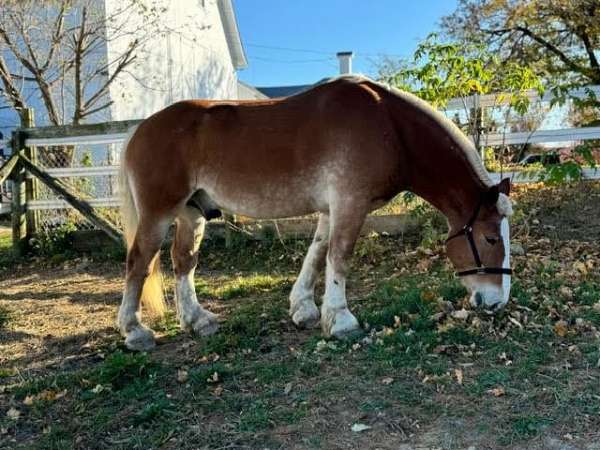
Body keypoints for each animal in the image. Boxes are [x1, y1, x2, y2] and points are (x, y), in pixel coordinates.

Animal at [117, 75, 510, 352]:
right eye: (490, 238)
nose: (497, 302)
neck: (388, 125)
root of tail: (139, 130)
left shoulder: (330, 209)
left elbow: (317, 254)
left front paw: (303, 308)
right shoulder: (350, 203)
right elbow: (339, 256)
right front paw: (340, 319)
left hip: (191, 212)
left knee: (183, 260)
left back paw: (197, 319)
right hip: (158, 213)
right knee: (139, 262)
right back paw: (134, 331)